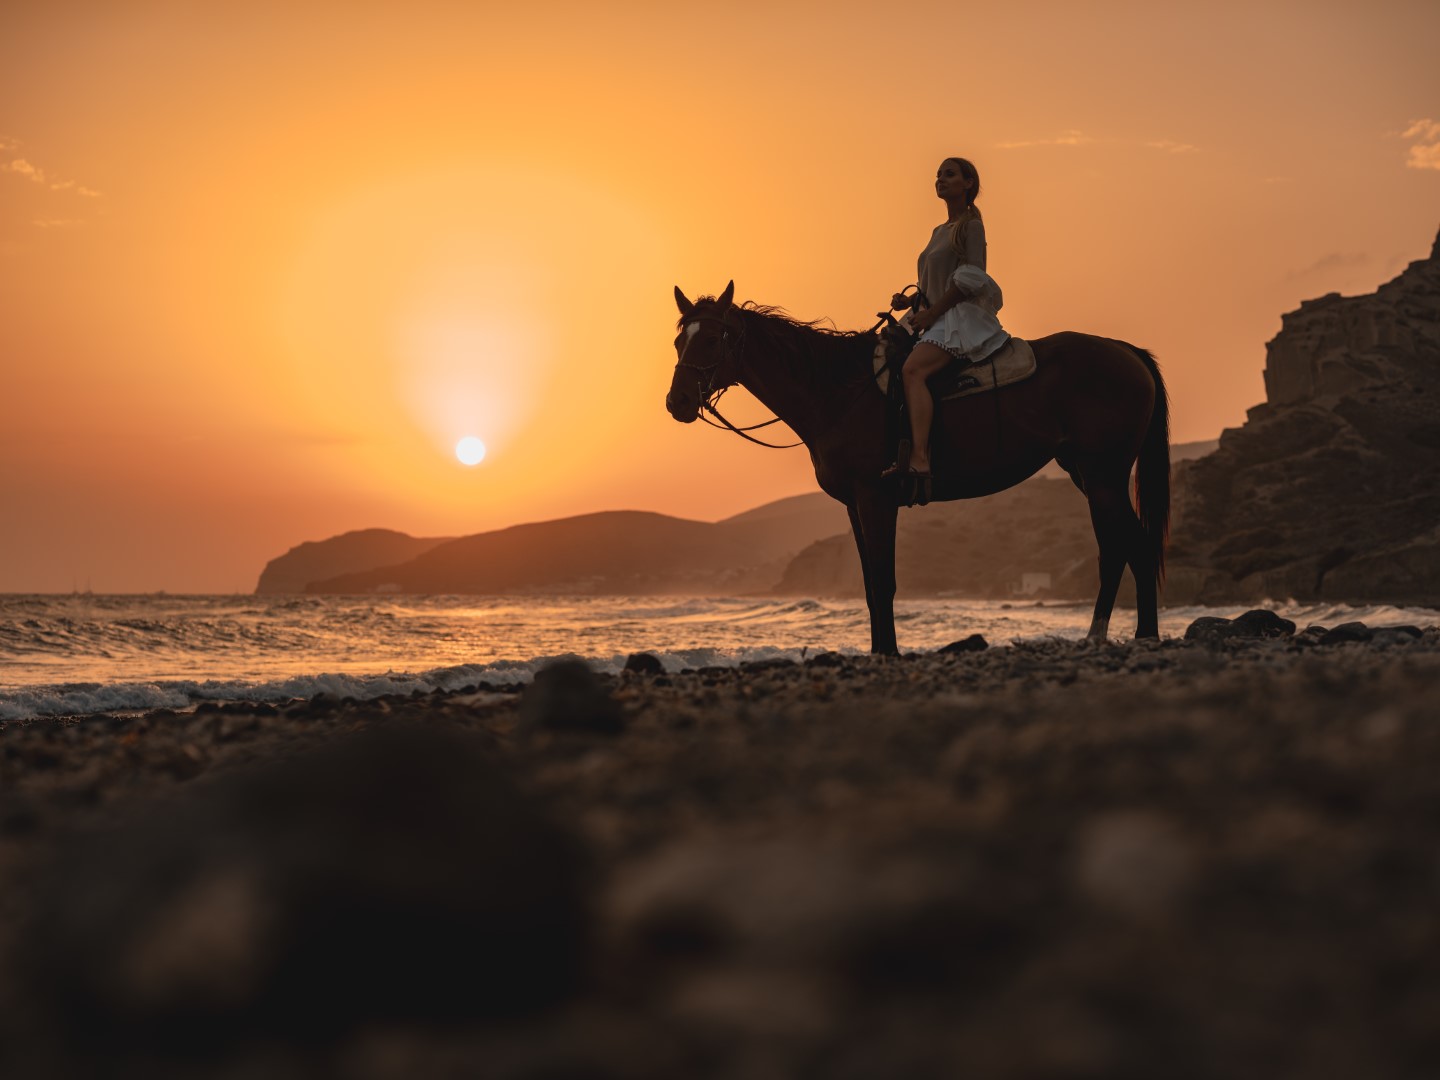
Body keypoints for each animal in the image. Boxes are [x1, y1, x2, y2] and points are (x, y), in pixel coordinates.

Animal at [665, 281, 1170, 654]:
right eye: (678, 340)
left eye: (710, 338)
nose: (678, 401)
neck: (838, 392)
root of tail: (1126, 352)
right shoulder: (854, 505)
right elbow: (869, 584)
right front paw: (878, 651)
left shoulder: (875, 498)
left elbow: (883, 580)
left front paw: (888, 653)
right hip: (1086, 473)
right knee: (1125, 545)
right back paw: (1123, 634)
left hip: (1102, 475)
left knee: (1127, 546)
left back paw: (1123, 635)